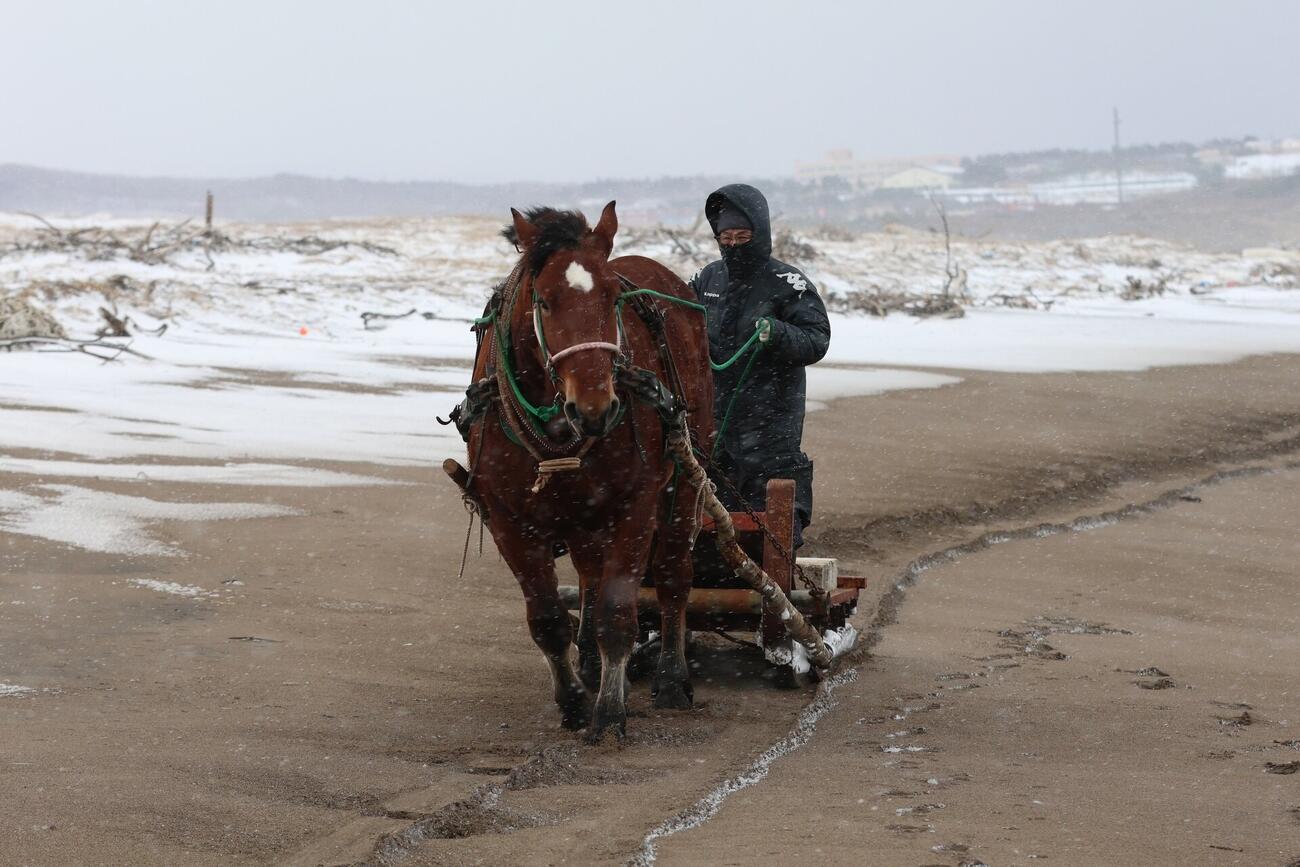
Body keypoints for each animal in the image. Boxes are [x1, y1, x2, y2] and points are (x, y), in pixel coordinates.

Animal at [454, 202, 714, 742]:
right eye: (545, 302)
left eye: (613, 297)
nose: (594, 407)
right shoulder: (511, 520)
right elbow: (548, 618)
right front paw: (573, 698)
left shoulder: (635, 505)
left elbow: (619, 612)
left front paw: (610, 711)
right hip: (582, 515)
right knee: (591, 574)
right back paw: (592, 666)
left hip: (684, 475)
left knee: (673, 573)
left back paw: (672, 677)